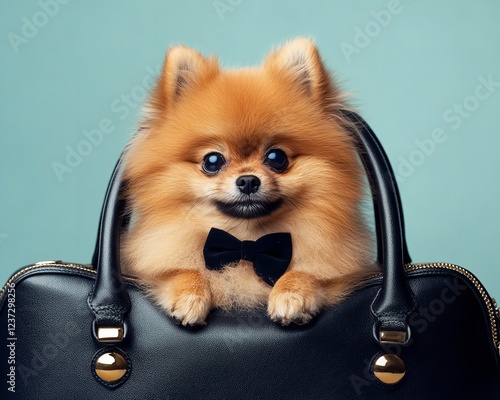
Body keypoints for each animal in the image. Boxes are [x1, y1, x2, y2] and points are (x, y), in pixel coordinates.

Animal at [122, 37, 376, 326]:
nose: (247, 181)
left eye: (276, 157)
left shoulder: (346, 272)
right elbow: (177, 270)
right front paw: (190, 293)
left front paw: (292, 292)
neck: (246, 241)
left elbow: (312, 272)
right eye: (212, 161)